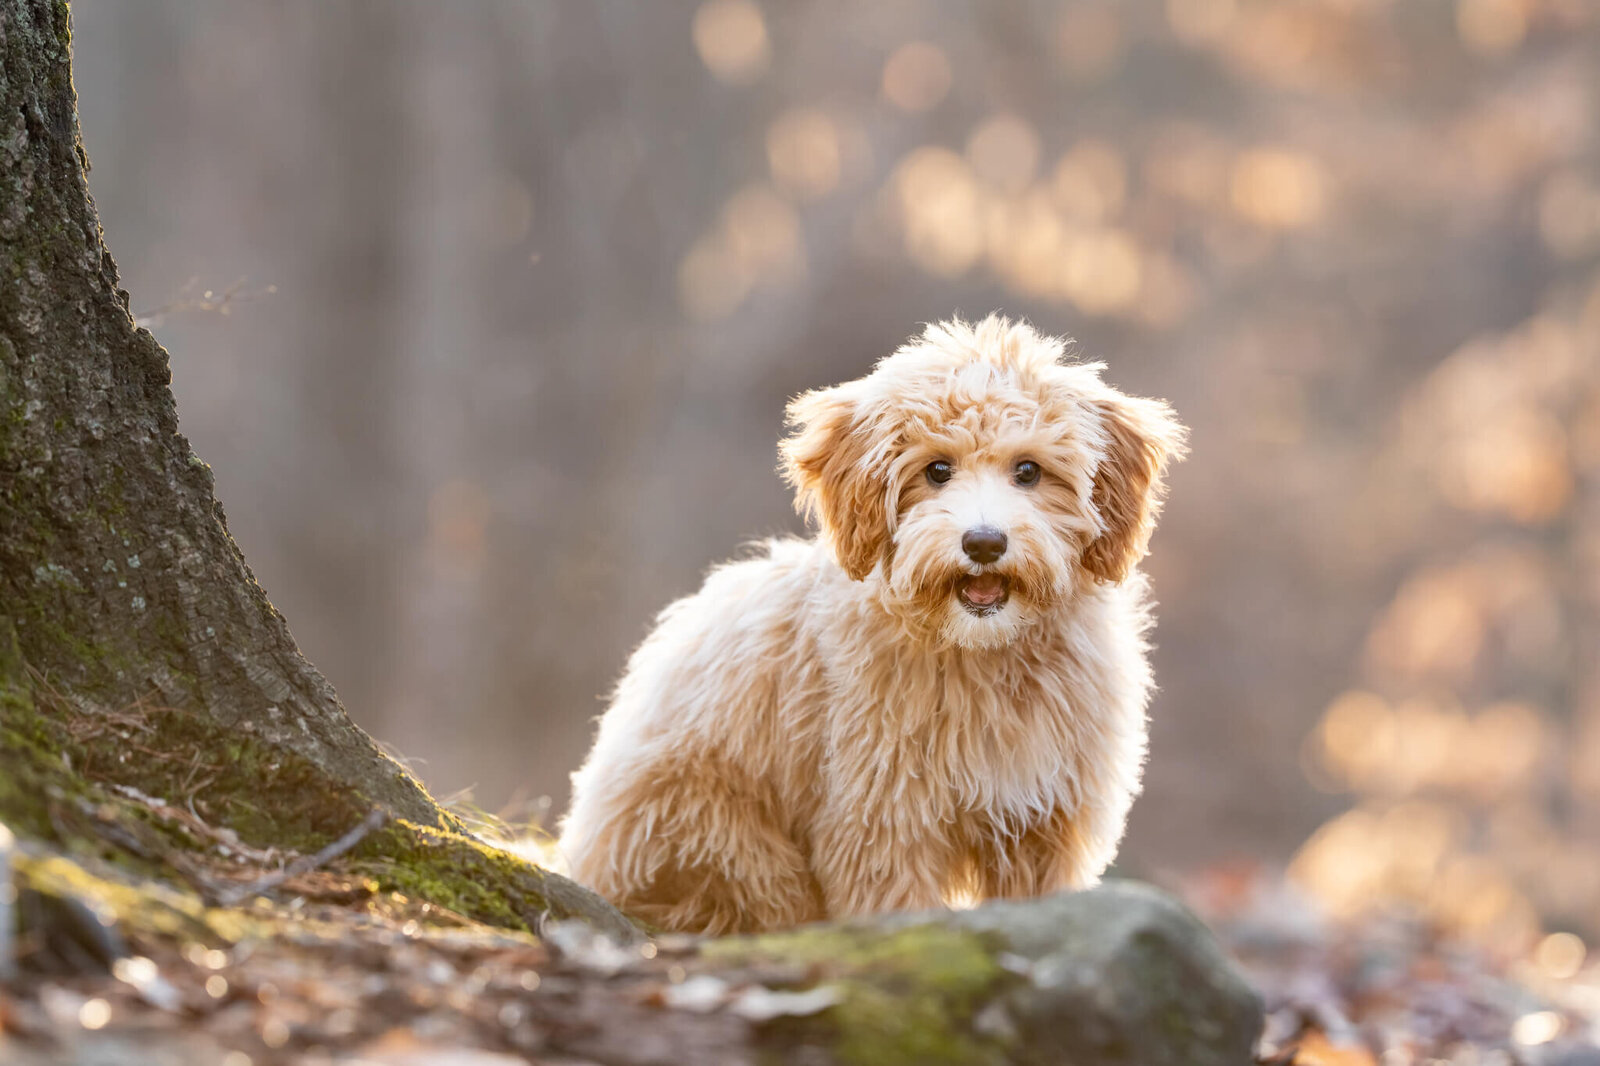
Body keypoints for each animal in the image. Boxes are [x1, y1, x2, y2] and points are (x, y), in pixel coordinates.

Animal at [556, 313, 1184, 928]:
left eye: (1028, 471)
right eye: (937, 470)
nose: (983, 543)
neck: (985, 652)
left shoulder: (1044, 822)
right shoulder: (884, 819)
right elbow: (897, 905)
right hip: (722, 840)